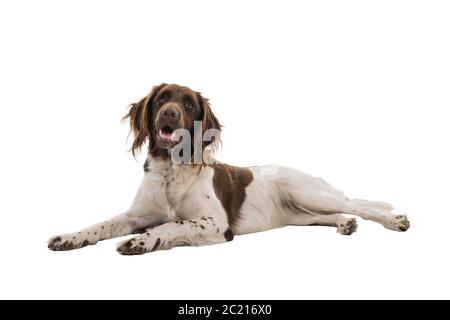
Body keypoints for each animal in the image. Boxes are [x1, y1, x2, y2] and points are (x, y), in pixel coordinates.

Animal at [47, 82, 410, 255]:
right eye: (162, 98)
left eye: (188, 103)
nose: (168, 113)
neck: (171, 170)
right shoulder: (136, 215)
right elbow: (100, 225)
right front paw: (69, 237)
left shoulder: (215, 224)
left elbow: (171, 225)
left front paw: (141, 243)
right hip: (298, 213)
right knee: (337, 214)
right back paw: (345, 224)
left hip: (307, 192)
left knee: (359, 205)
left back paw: (395, 220)